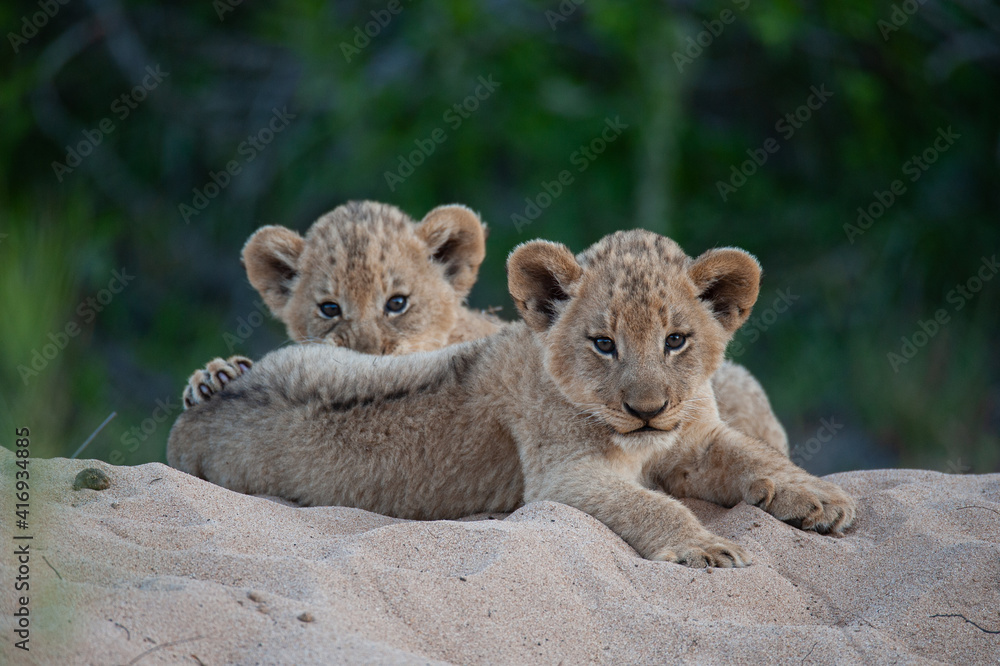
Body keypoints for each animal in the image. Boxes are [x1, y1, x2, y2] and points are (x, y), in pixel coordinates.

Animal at [168, 229, 854, 567]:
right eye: (603, 343)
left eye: (676, 340)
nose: (647, 410)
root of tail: (191, 423)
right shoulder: (564, 478)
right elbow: (652, 505)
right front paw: (705, 547)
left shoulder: (698, 437)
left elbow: (757, 457)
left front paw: (822, 500)